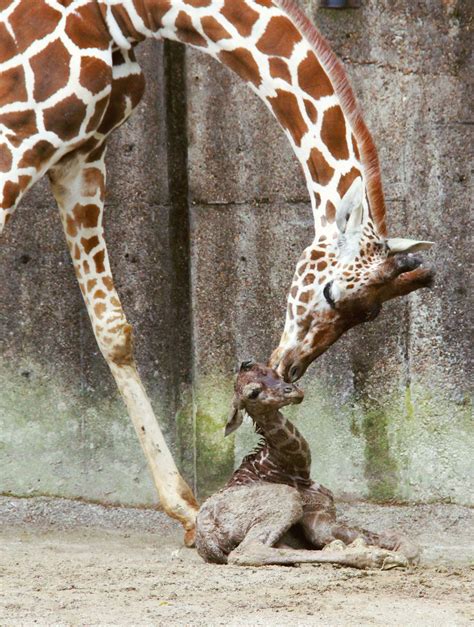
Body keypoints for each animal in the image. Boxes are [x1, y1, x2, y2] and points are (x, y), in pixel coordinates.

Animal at [0, 0, 434, 544]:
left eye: (370, 317)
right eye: (331, 294)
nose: (289, 368)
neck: (127, 15)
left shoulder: (80, 154)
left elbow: (113, 328)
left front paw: (187, 511)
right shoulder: (19, 133)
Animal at [195, 360, 418, 572]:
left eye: (273, 372)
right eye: (253, 393)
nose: (293, 390)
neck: (295, 468)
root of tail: (207, 540)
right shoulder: (320, 521)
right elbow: (402, 541)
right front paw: (392, 555)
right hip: (286, 499)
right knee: (247, 551)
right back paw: (378, 558)